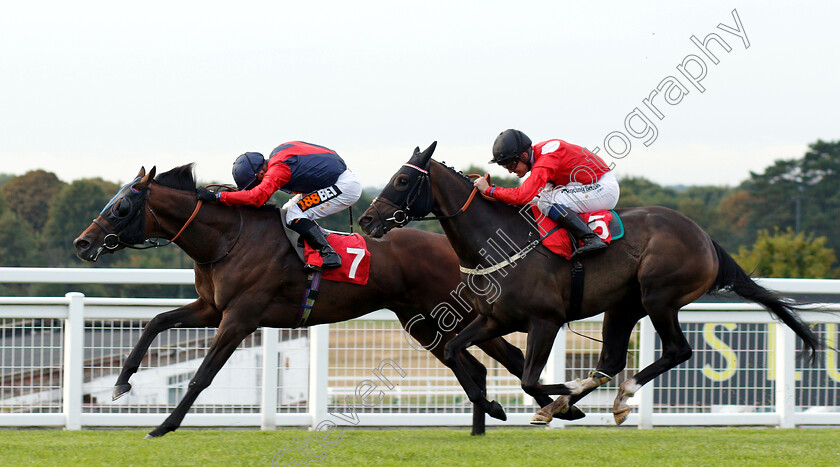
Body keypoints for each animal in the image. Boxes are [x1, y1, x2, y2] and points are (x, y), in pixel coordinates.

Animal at [72, 165, 556, 438]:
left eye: (121, 208)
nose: (83, 243)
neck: (227, 239)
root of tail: (457, 250)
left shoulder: (239, 318)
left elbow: (202, 375)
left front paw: (163, 425)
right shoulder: (211, 309)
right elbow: (156, 321)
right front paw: (121, 383)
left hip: (452, 315)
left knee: (504, 358)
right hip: (421, 321)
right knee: (477, 364)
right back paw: (489, 419)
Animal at [356, 144, 820, 426]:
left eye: (402, 179)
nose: (366, 219)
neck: (498, 243)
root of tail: (705, 236)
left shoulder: (545, 320)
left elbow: (530, 379)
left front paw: (559, 397)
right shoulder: (493, 320)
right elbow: (455, 350)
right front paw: (500, 406)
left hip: (659, 297)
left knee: (676, 351)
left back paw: (612, 396)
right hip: (624, 305)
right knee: (612, 359)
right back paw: (592, 400)